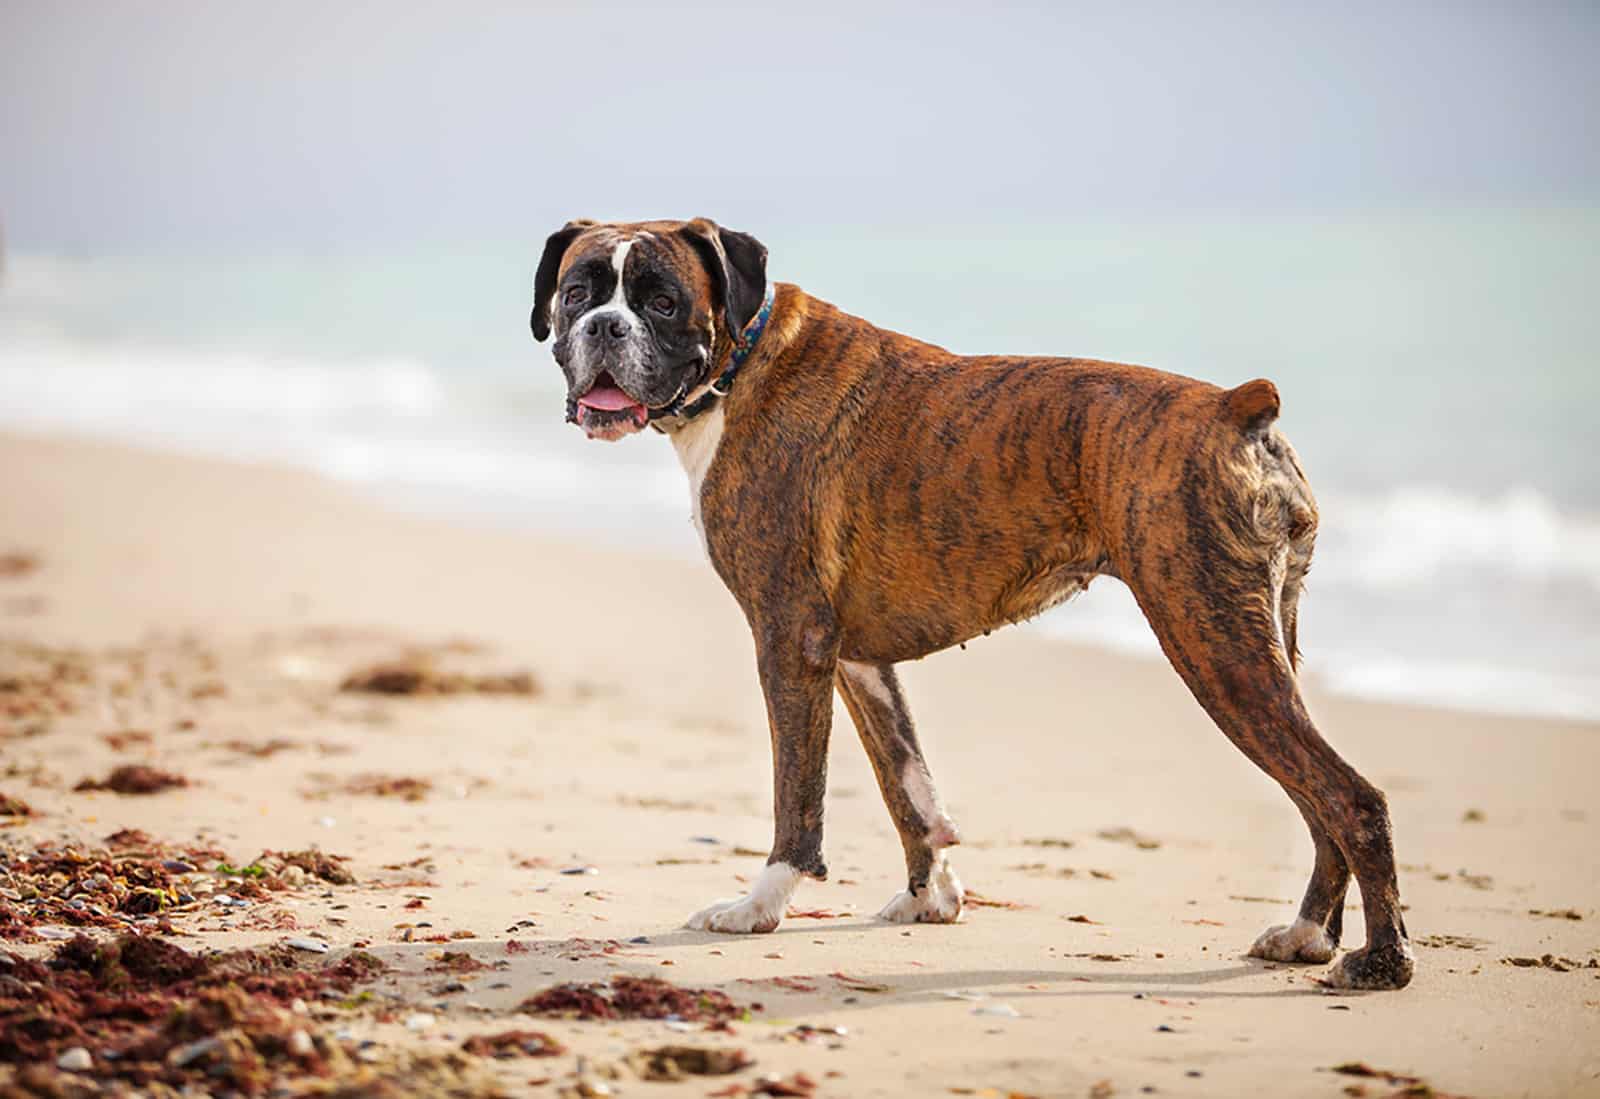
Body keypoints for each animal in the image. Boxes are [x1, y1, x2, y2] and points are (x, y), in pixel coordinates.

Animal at [528, 214, 1414, 991]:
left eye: (662, 301)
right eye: (578, 293)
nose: (605, 327)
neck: (742, 362)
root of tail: (1236, 404)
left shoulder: (791, 640)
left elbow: (799, 797)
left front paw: (761, 905)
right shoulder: (856, 658)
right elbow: (907, 784)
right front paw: (934, 896)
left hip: (1213, 645)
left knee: (1348, 797)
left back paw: (1380, 962)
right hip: (1263, 644)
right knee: (1316, 798)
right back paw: (1305, 933)